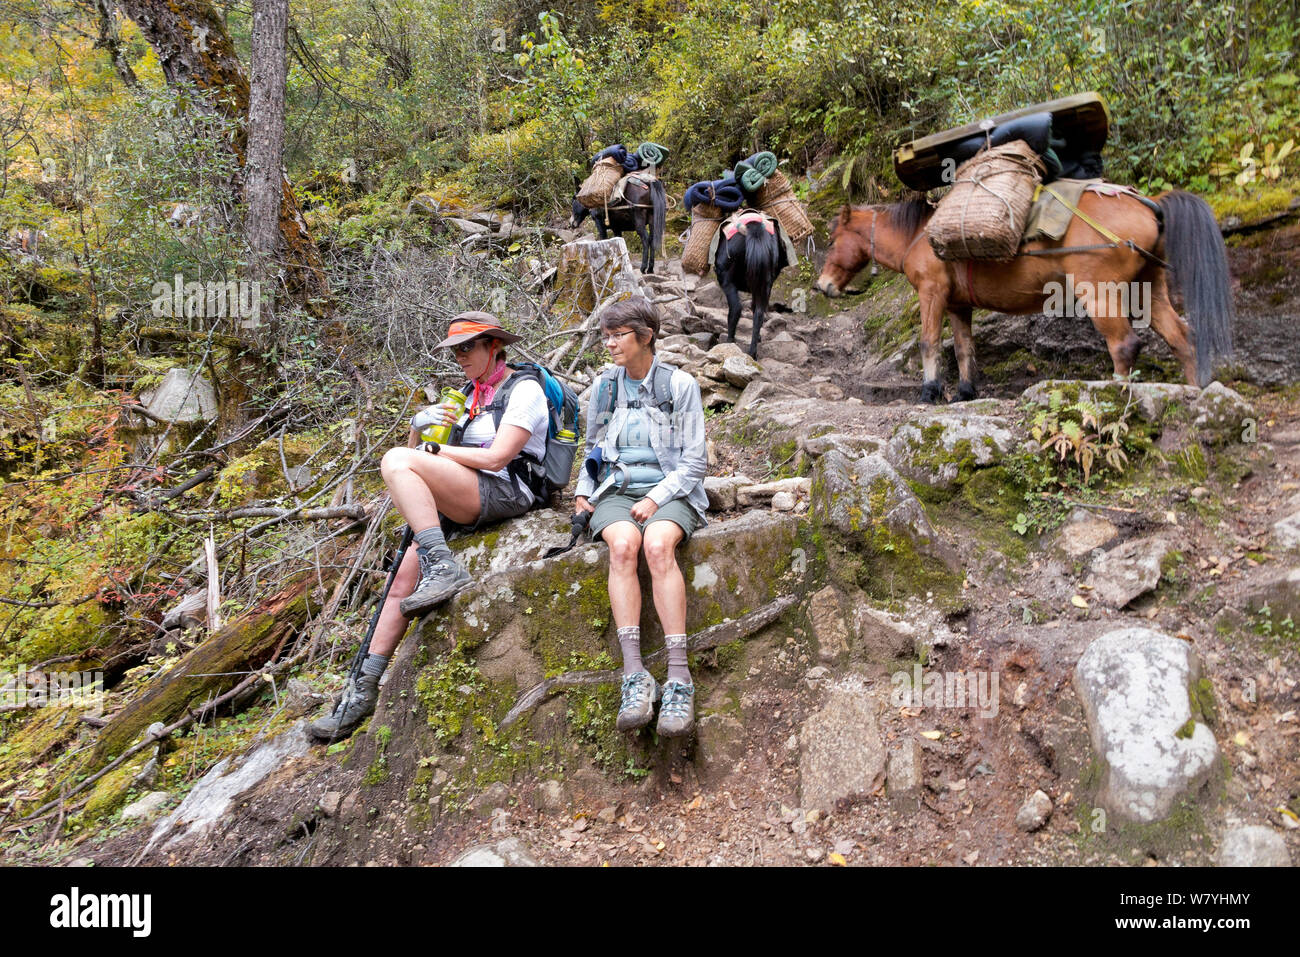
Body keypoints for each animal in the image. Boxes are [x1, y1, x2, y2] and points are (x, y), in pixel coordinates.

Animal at [717, 210, 785, 356]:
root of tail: (754, 227)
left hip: (727, 281)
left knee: (736, 309)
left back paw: (729, 342)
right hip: (765, 283)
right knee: (759, 312)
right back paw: (753, 352)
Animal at [816, 192, 1232, 403]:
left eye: (833, 240)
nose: (823, 286)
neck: (921, 234)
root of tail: (1149, 203)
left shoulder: (932, 294)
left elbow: (928, 342)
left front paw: (930, 393)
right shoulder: (958, 304)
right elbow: (964, 348)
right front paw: (965, 393)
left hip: (1100, 293)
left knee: (1124, 344)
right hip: (1147, 291)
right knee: (1181, 337)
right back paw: (1194, 391)